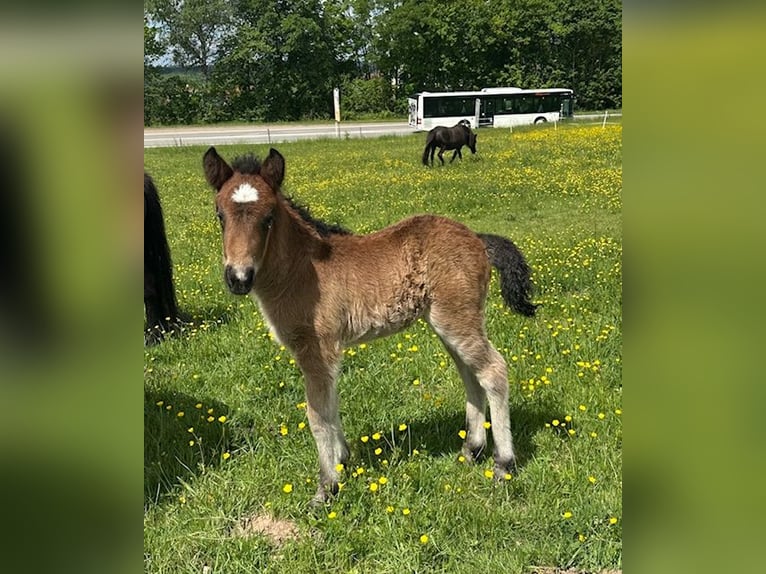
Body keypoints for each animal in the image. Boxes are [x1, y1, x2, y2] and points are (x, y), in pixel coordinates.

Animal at [203, 146, 537, 504]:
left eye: (268, 218)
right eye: (220, 216)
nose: (239, 278)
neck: (300, 271)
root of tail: (478, 239)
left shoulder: (315, 348)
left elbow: (317, 414)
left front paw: (326, 487)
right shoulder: (326, 353)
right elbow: (331, 404)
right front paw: (343, 460)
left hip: (457, 318)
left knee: (493, 371)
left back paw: (503, 464)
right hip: (448, 321)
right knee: (470, 374)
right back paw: (471, 450)